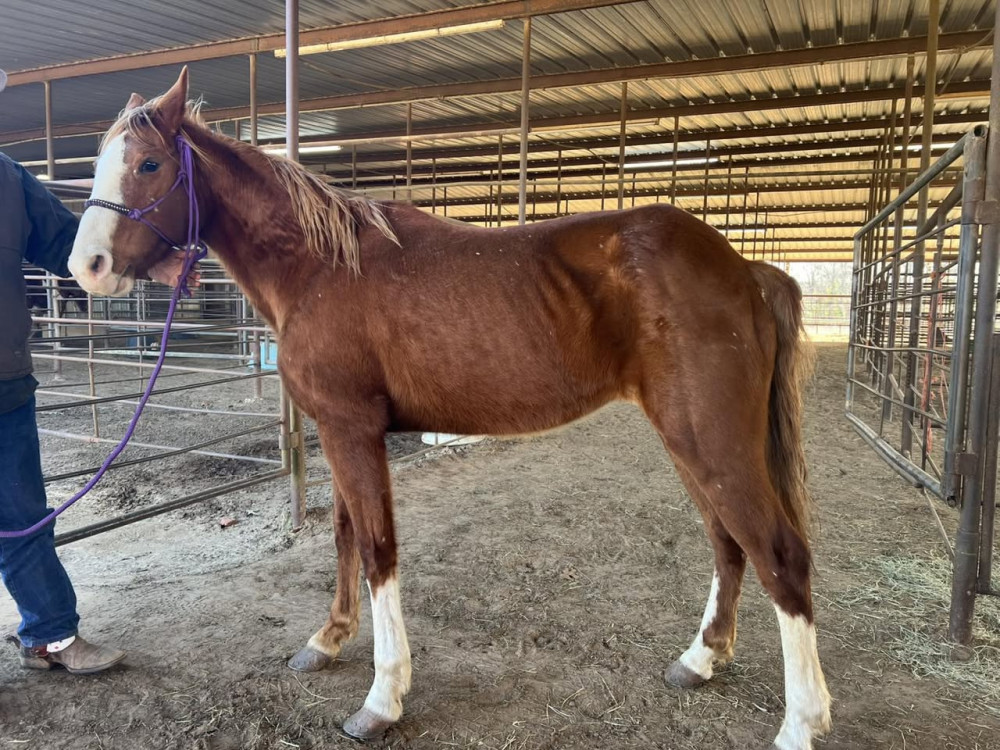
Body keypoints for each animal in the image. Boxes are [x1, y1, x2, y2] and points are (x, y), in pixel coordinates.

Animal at [68, 69, 831, 750]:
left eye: (149, 163)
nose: (87, 267)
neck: (321, 266)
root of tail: (744, 271)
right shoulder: (336, 431)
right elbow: (344, 535)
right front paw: (328, 640)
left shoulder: (352, 430)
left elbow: (377, 550)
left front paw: (382, 699)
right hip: (692, 445)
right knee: (729, 545)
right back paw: (701, 660)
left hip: (710, 441)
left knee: (779, 554)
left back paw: (801, 722)